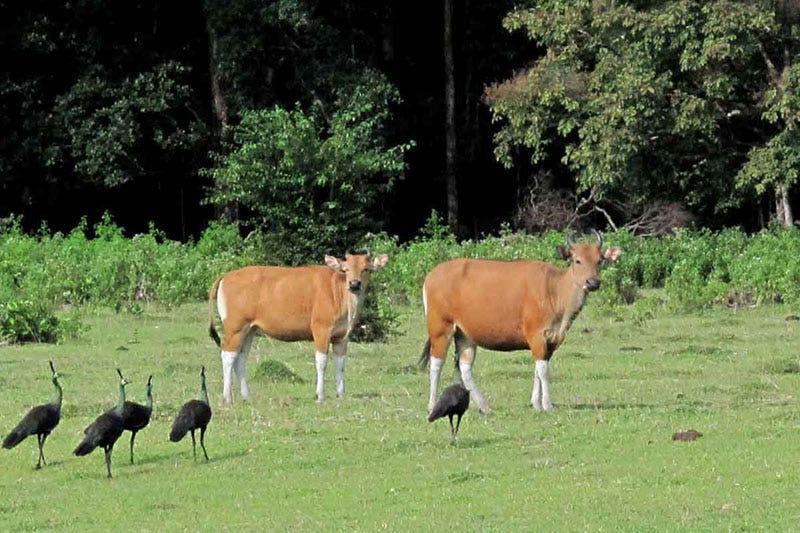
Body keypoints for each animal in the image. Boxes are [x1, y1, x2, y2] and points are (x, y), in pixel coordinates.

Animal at [208, 251, 390, 402]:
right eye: (345, 270)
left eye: (366, 269)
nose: (354, 284)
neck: (338, 293)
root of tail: (226, 275)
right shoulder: (321, 330)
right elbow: (321, 362)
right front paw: (320, 395)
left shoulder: (342, 336)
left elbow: (340, 364)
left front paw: (341, 394)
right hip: (235, 328)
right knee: (227, 356)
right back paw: (227, 397)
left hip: (249, 330)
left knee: (240, 358)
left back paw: (246, 396)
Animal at [422, 232, 620, 412]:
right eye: (577, 260)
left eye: (599, 261)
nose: (593, 282)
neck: (554, 290)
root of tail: (431, 275)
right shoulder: (536, 335)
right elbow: (544, 371)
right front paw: (547, 405)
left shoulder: (551, 340)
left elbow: (538, 370)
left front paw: (536, 403)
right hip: (441, 327)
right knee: (436, 363)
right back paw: (432, 405)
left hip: (465, 334)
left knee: (464, 367)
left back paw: (483, 406)